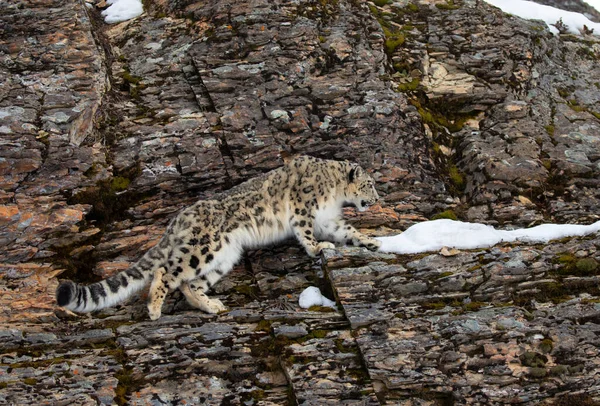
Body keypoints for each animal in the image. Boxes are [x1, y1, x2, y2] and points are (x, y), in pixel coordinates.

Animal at [58, 155, 382, 320]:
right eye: (369, 183)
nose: (378, 198)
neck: (335, 194)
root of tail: (179, 218)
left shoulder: (329, 218)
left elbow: (348, 231)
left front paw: (373, 241)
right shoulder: (304, 208)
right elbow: (305, 232)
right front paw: (318, 247)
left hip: (224, 256)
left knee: (189, 284)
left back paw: (212, 305)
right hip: (204, 248)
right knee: (166, 273)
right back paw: (154, 309)